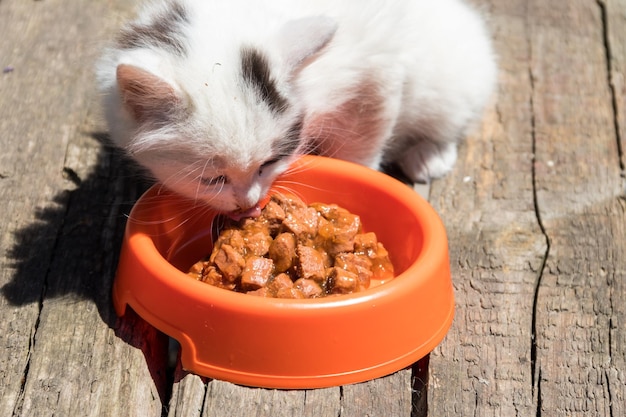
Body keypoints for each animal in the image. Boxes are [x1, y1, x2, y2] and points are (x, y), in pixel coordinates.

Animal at [97, 0, 494, 214]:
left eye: (270, 163)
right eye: (212, 179)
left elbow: (363, 139)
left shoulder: (377, 74)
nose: (248, 203)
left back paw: (429, 155)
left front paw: (360, 179)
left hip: (455, 78)